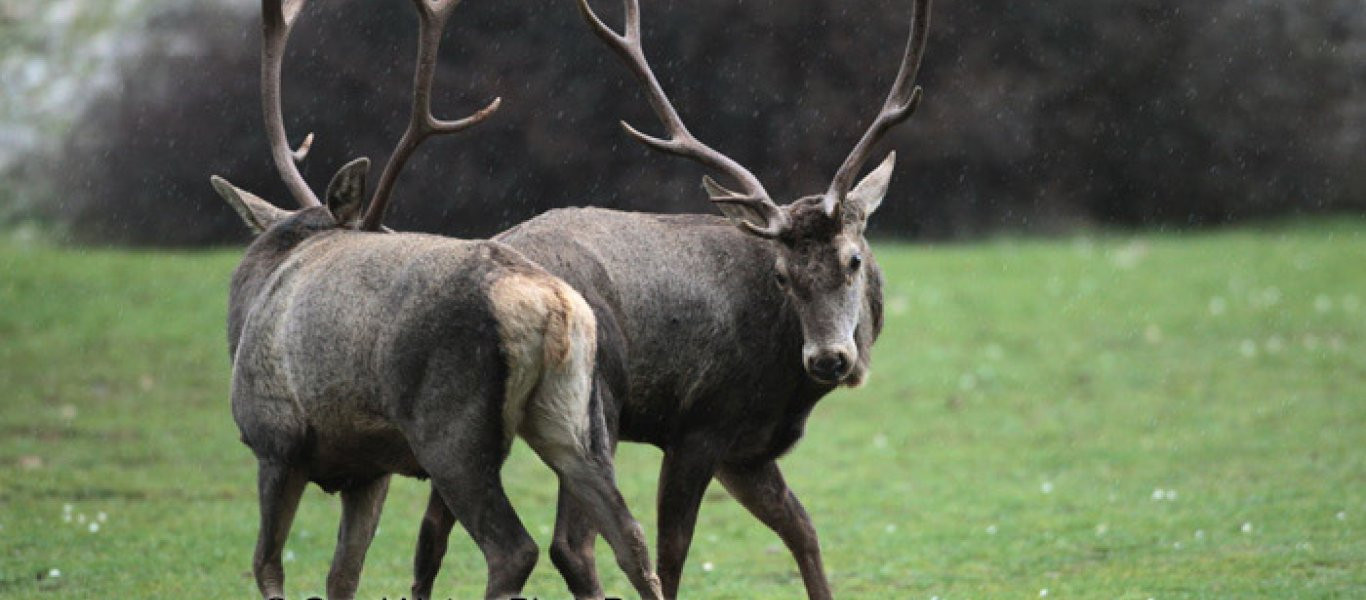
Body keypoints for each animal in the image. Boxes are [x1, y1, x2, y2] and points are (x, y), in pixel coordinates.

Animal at [207, 1, 666, 600]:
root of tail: (550, 306)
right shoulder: (367, 469)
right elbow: (342, 574)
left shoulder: (275, 439)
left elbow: (267, 565)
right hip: (578, 416)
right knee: (629, 536)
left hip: (450, 428)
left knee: (513, 549)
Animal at [407, 0, 939, 598]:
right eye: (782, 276)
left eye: (852, 260)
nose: (828, 358)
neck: (785, 387)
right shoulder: (700, 424)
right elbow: (674, 551)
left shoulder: (745, 451)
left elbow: (803, 529)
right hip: (596, 401)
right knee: (574, 544)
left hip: (463, 412)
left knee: (433, 535)